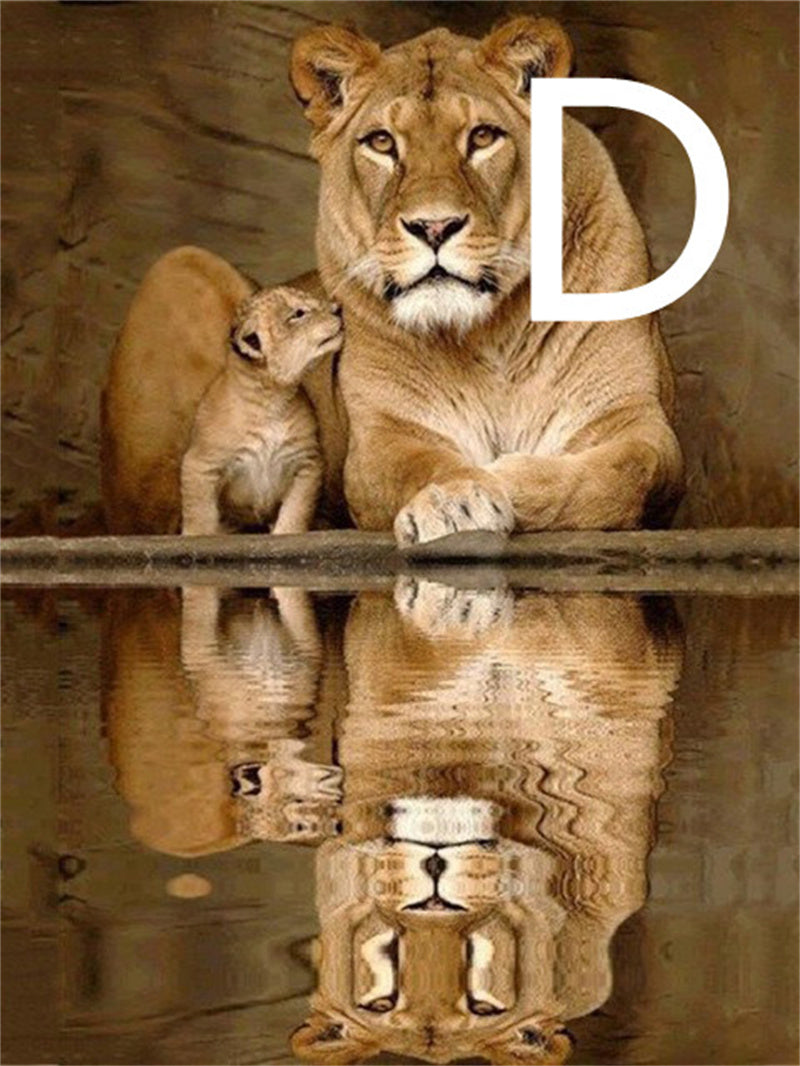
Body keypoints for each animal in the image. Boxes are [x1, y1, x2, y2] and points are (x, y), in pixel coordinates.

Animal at [101, 16, 683, 541]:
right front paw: (456, 500)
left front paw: (506, 478)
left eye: (483, 137)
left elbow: (624, 474)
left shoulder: (639, 422)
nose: (434, 226)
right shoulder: (380, 438)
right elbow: (420, 465)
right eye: (382, 143)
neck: (490, 334)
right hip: (182, 265)